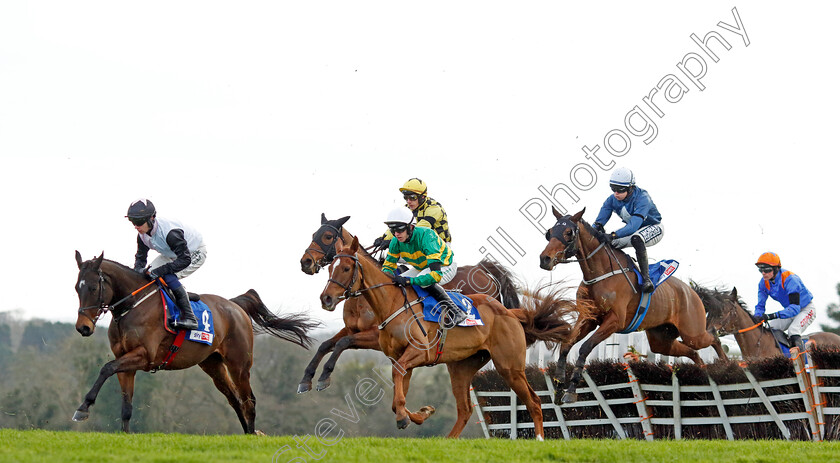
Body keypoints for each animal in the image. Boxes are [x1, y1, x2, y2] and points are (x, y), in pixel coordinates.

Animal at [69, 252, 316, 434]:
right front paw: (124, 435)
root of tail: (235, 305)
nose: (83, 327)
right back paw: (247, 433)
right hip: (213, 365)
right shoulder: (126, 361)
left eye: (93, 287)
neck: (134, 305)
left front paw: (83, 408)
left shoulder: (144, 356)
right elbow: (126, 405)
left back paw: (252, 435)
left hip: (239, 364)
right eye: (76, 287)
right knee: (235, 399)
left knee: (249, 400)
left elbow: (106, 368)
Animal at [294, 215, 520, 396]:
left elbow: (342, 343)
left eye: (327, 236)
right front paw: (306, 379)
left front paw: (324, 377)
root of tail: (484, 269)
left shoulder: (374, 336)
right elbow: (326, 344)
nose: (305, 262)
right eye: (314, 233)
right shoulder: (352, 328)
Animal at [318, 237, 576, 440]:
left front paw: (405, 417)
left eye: (346, 268)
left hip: (510, 367)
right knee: (465, 409)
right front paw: (421, 413)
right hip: (461, 368)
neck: (392, 303)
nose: (326, 298)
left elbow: (396, 383)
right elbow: (396, 397)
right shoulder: (399, 359)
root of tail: (510, 313)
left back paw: (539, 439)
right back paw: (449, 440)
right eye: (330, 268)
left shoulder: (418, 353)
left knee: (534, 401)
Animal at [540, 208, 724, 404]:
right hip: (662, 339)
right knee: (692, 352)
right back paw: (704, 373)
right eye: (550, 232)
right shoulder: (588, 318)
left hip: (692, 332)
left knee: (713, 337)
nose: (545, 259)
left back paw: (725, 363)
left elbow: (585, 347)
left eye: (569, 232)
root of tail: (692, 292)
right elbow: (566, 344)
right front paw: (559, 385)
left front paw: (571, 390)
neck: (601, 274)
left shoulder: (615, 321)